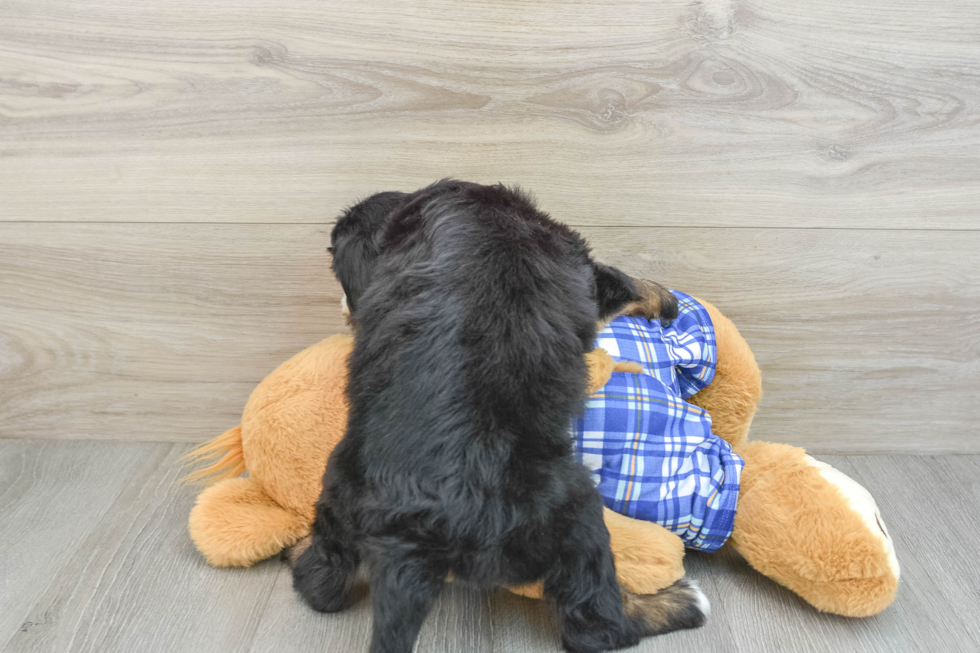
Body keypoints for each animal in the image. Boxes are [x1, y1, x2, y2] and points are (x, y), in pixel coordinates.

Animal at [292, 180, 704, 652]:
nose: (345, 310)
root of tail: (415, 534)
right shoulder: (578, 263)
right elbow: (626, 282)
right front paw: (668, 302)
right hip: (575, 515)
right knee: (591, 623)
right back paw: (676, 604)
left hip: (339, 487)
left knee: (323, 582)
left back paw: (300, 553)